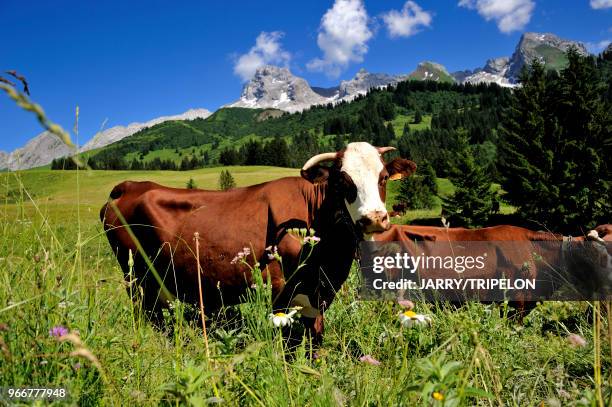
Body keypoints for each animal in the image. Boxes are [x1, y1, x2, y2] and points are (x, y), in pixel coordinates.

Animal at [101, 142, 416, 342]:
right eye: (342, 181)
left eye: (383, 177)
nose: (373, 218)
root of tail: (129, 185)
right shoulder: (278, 290)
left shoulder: (318, 296)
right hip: (136, 278)